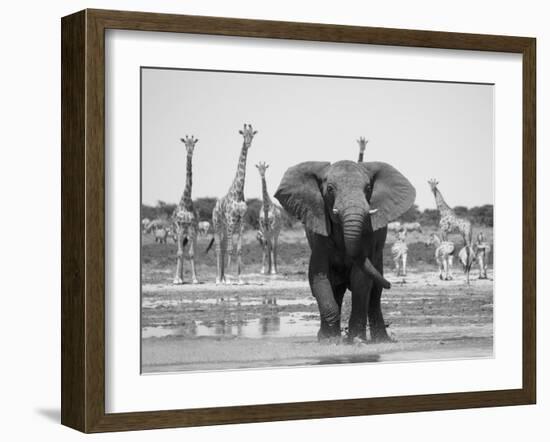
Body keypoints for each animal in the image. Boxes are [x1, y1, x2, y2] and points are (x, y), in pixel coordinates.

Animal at [212, 123, 260, 284]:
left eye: (252, 135)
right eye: (243, 134)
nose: (248, 143)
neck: (238, 192)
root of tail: (214, 207)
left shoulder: (241, 221)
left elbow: (238, 249)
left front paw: (240, 278)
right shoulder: (232, 220)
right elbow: (230, 249)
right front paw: (229, 278)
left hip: (224, 226)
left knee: (222, 246)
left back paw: (222, 277)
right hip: (217, 224)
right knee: (219, 248)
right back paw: (218, 278)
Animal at [278, 161, 416, 344]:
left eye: (368, 188)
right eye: (330, 189)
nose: (391, 284)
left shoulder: (368, 235)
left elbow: (361, 279)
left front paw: (356, 340)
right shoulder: (319, 234)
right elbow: (319, 275)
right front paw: (329, 341)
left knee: (374, 293)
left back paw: (381, 340)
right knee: (337, 288)